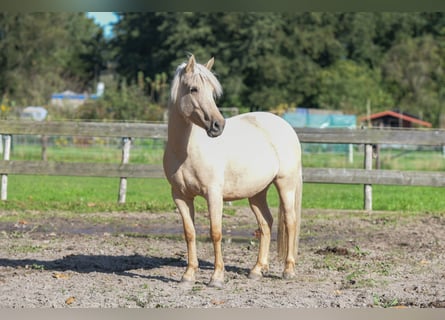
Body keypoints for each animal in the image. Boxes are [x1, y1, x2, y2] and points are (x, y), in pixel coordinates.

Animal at [163, 54, 302, 288]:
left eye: (212, 91)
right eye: (193, 89)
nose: (218, 125)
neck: (186, 151)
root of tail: (286, 126)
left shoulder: (213, 194)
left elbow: (216, 232)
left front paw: (217, 277)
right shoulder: (180, 196)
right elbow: (189, 233)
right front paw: (188, 275)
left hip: (286, 184)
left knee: (290, 222)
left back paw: (288, 270)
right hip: (257, 193)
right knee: (266, 224)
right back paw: (257, 270)